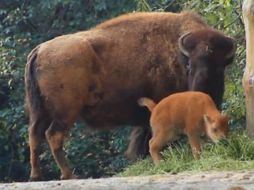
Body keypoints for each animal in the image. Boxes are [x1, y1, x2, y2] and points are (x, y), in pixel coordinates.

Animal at [24, 11, 235, 180]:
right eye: (189, 66)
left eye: (219, 67)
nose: (202, 89)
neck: (176, 53)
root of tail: (39, 50)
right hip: (65, 112)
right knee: (53, 136)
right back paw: (69, 175)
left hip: (40, 111)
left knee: (35, 134)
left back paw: (36, 176)